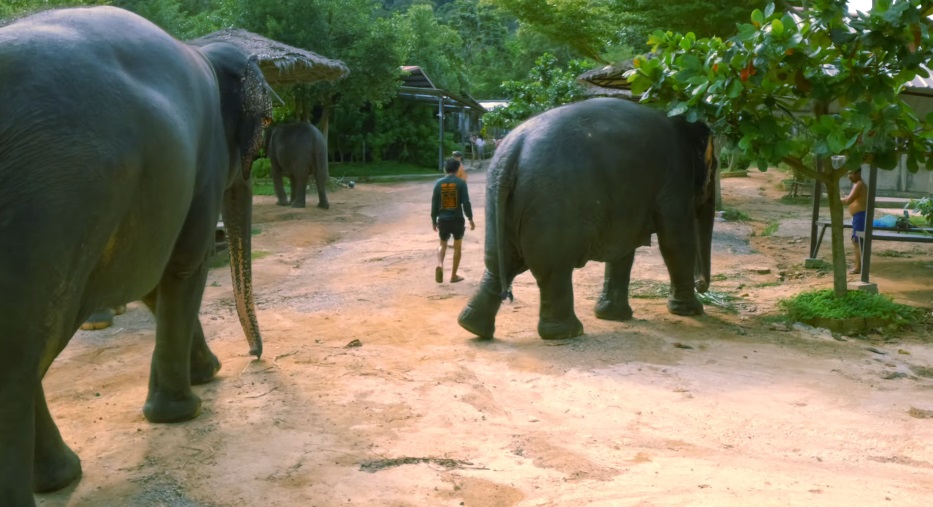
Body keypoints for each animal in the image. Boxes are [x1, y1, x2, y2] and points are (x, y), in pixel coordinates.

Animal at [0, 6, 272, 506]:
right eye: (264, 124)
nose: (254, 357)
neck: (204, 52)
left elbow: (155, 283)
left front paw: (206, 372)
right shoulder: (203, 166)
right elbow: (184, 266)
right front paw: (184, 409)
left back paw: (60, 476)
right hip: (55, 199)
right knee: (23, 355)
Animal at [457, 97, 718, 341]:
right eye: (714, 167)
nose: (702, 285)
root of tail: (512, 151)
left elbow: (623, 248)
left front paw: (612, 315)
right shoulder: (675, 177)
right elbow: (676, 240)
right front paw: (691, 311)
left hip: (499, 202)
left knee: (499, 262)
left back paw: (473, 327)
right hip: (552, 205)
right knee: (553, 268)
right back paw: (568, 333)